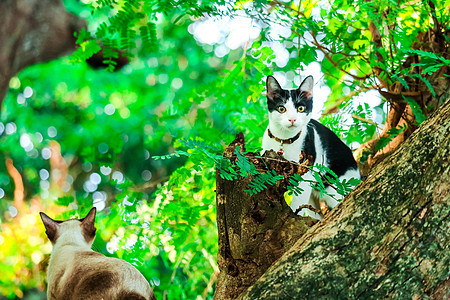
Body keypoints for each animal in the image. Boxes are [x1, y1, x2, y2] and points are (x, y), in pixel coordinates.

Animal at [262, 76, 360, 219]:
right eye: (281, 109)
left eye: (301, 108)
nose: (292, 119)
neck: (284, 140)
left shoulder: (305, 174)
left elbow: (297, 204)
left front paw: (293, 216)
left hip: (334, 187)